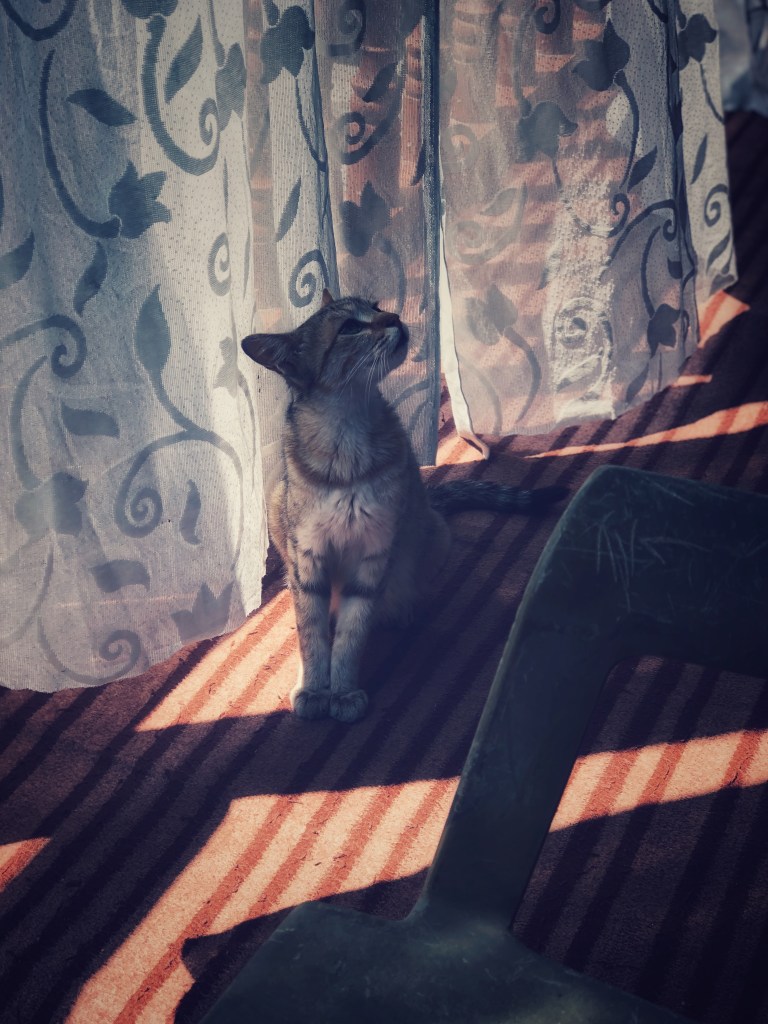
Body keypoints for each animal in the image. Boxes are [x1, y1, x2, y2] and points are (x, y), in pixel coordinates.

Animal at [241, 290, 566, 723]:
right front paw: (313, 687)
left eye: (376, 307)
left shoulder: (374, 554)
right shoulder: (307, 557)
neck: (347, 435)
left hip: (431, 535)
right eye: (349, 327)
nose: (394, 317)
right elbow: (312, 635)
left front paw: (342, 690)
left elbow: (351, 636)